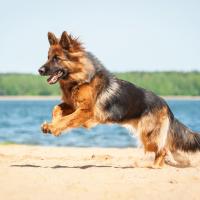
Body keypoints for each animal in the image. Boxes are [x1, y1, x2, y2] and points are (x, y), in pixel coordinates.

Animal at [38, 31, 200, 168]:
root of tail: (166, 105)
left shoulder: (85, 111)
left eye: (57, 59)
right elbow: (56, 109)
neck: (80, 79)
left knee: (163, 150)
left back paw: (154, 167)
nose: (39, 70)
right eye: (48, 58)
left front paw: (54, 127)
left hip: (148, 137)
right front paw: (52, 124)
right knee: (166, 148)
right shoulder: (72, 105)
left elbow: (68, 119)